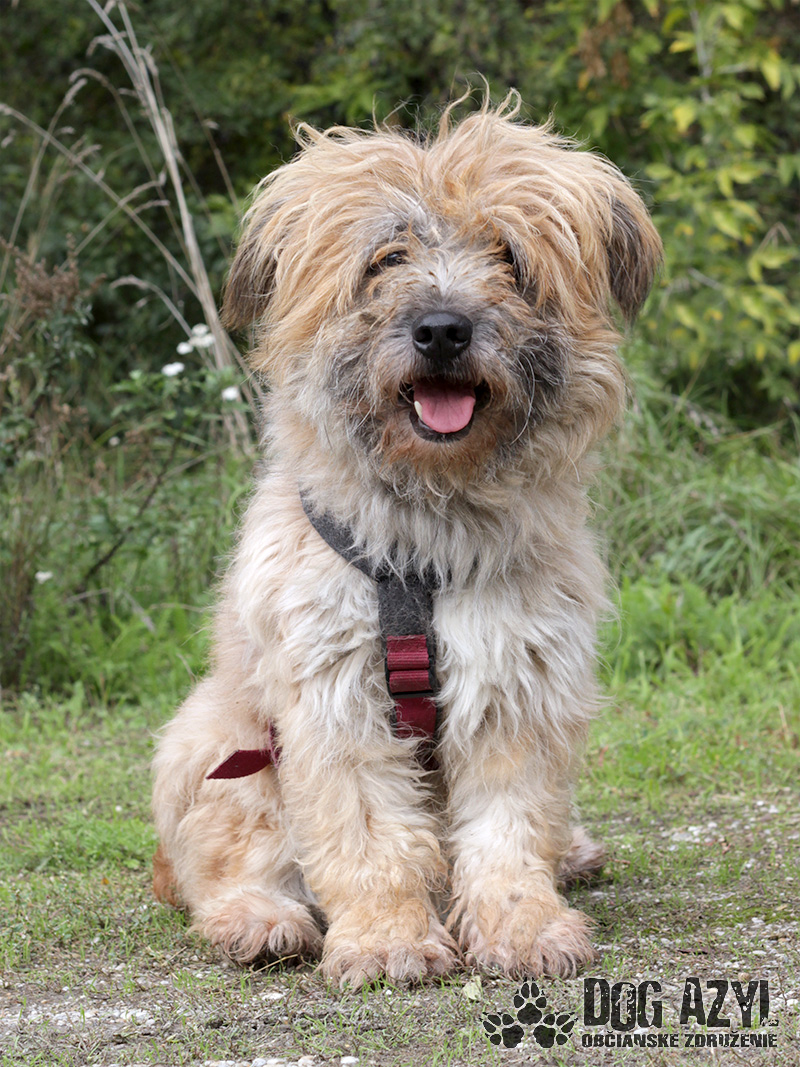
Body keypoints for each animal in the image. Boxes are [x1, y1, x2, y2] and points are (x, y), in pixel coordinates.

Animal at [151, 93, 661, 987]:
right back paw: (260, 918)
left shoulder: (517, 679)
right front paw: (388, 937)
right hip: (214, 739)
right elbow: (366, 833)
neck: (430, 536)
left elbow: (507, 827)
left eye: (507, 255)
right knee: (229, 859)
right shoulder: (335, 693)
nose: (443, 330)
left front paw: (522, 925)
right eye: (386, 257)